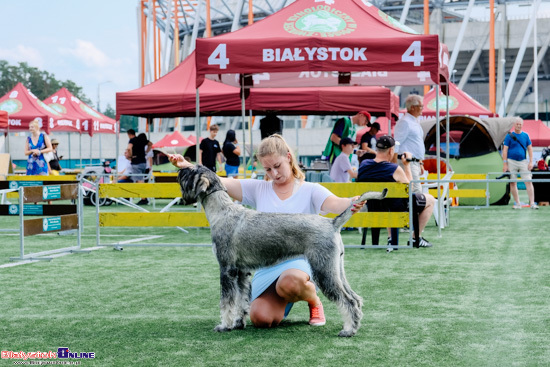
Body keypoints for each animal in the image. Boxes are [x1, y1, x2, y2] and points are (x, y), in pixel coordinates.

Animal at [179, 165, 386, 338]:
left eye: (192, 172)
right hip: (336, 270)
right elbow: (241, 300)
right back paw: (354, 325)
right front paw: (238, 323)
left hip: (324, 271)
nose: (181, 169)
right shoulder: (241, 273)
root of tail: (332, 223)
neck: (222, 212)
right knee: (355, 298)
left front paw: (224, 325)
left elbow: (227, 301)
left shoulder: (226, 270)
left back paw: (348, 330)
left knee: (347, 300)